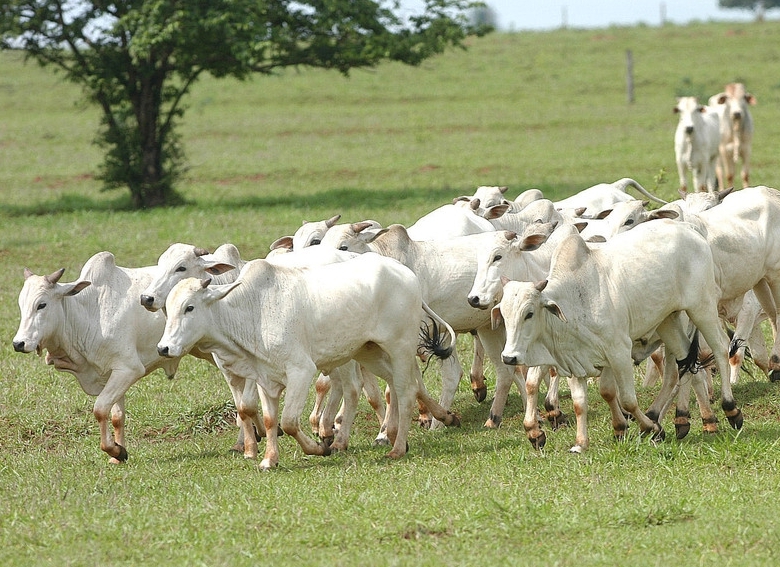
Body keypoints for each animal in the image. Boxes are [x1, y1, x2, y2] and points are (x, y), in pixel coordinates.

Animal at [12, 254, 181, 466]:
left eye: (41, 305)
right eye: (21, 305)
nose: (19, 343)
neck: (90, 314)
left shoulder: (129, 369)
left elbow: (100, 410)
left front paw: (115, 451)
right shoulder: (112, 374)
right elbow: (117, 416)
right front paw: (118, 455)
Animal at [158, 254, 460, 470]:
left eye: (189, 307)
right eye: (168, 311)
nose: (164, 348)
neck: (253, 312)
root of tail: (406, 273)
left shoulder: (301, 371)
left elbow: (290, 422)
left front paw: (319, 448)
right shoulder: (264, 378)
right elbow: (269, 420)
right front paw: (269, 459)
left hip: (399, 348)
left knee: (405, 391)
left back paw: (397, 448)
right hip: (369, 351)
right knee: (402, 386)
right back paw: (443, 418)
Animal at [490, 220, 740, 454]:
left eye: (529, 313)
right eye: (503, 313)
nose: (509, 357)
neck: (575, 298)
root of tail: (687, 227)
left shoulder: (618, 351)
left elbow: (627, 399)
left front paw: (650, 428)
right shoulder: (577, 360)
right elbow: (583, 402)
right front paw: (581, 443)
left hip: (701, 307)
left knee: (719, 348)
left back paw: (729, 410)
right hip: (668, 321)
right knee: (685, 363)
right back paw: (683, 420)